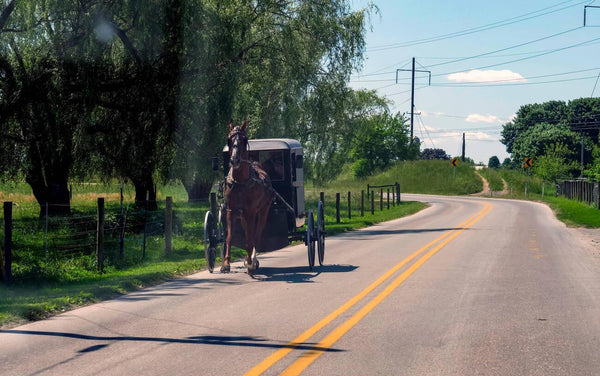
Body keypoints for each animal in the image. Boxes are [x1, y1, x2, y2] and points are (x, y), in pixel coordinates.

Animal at [223, 120, 274, 274]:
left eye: (244, 139)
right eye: (229, 139)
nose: (234, 160)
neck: (241, 182)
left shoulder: (250, 212)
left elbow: (250, 240)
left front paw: (251, 263)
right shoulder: (231, 211)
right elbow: (229, 237)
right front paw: (225, 264)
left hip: (263, 211)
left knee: (256, 235)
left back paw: (253, 260)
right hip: (244, 215)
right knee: (249, 233)